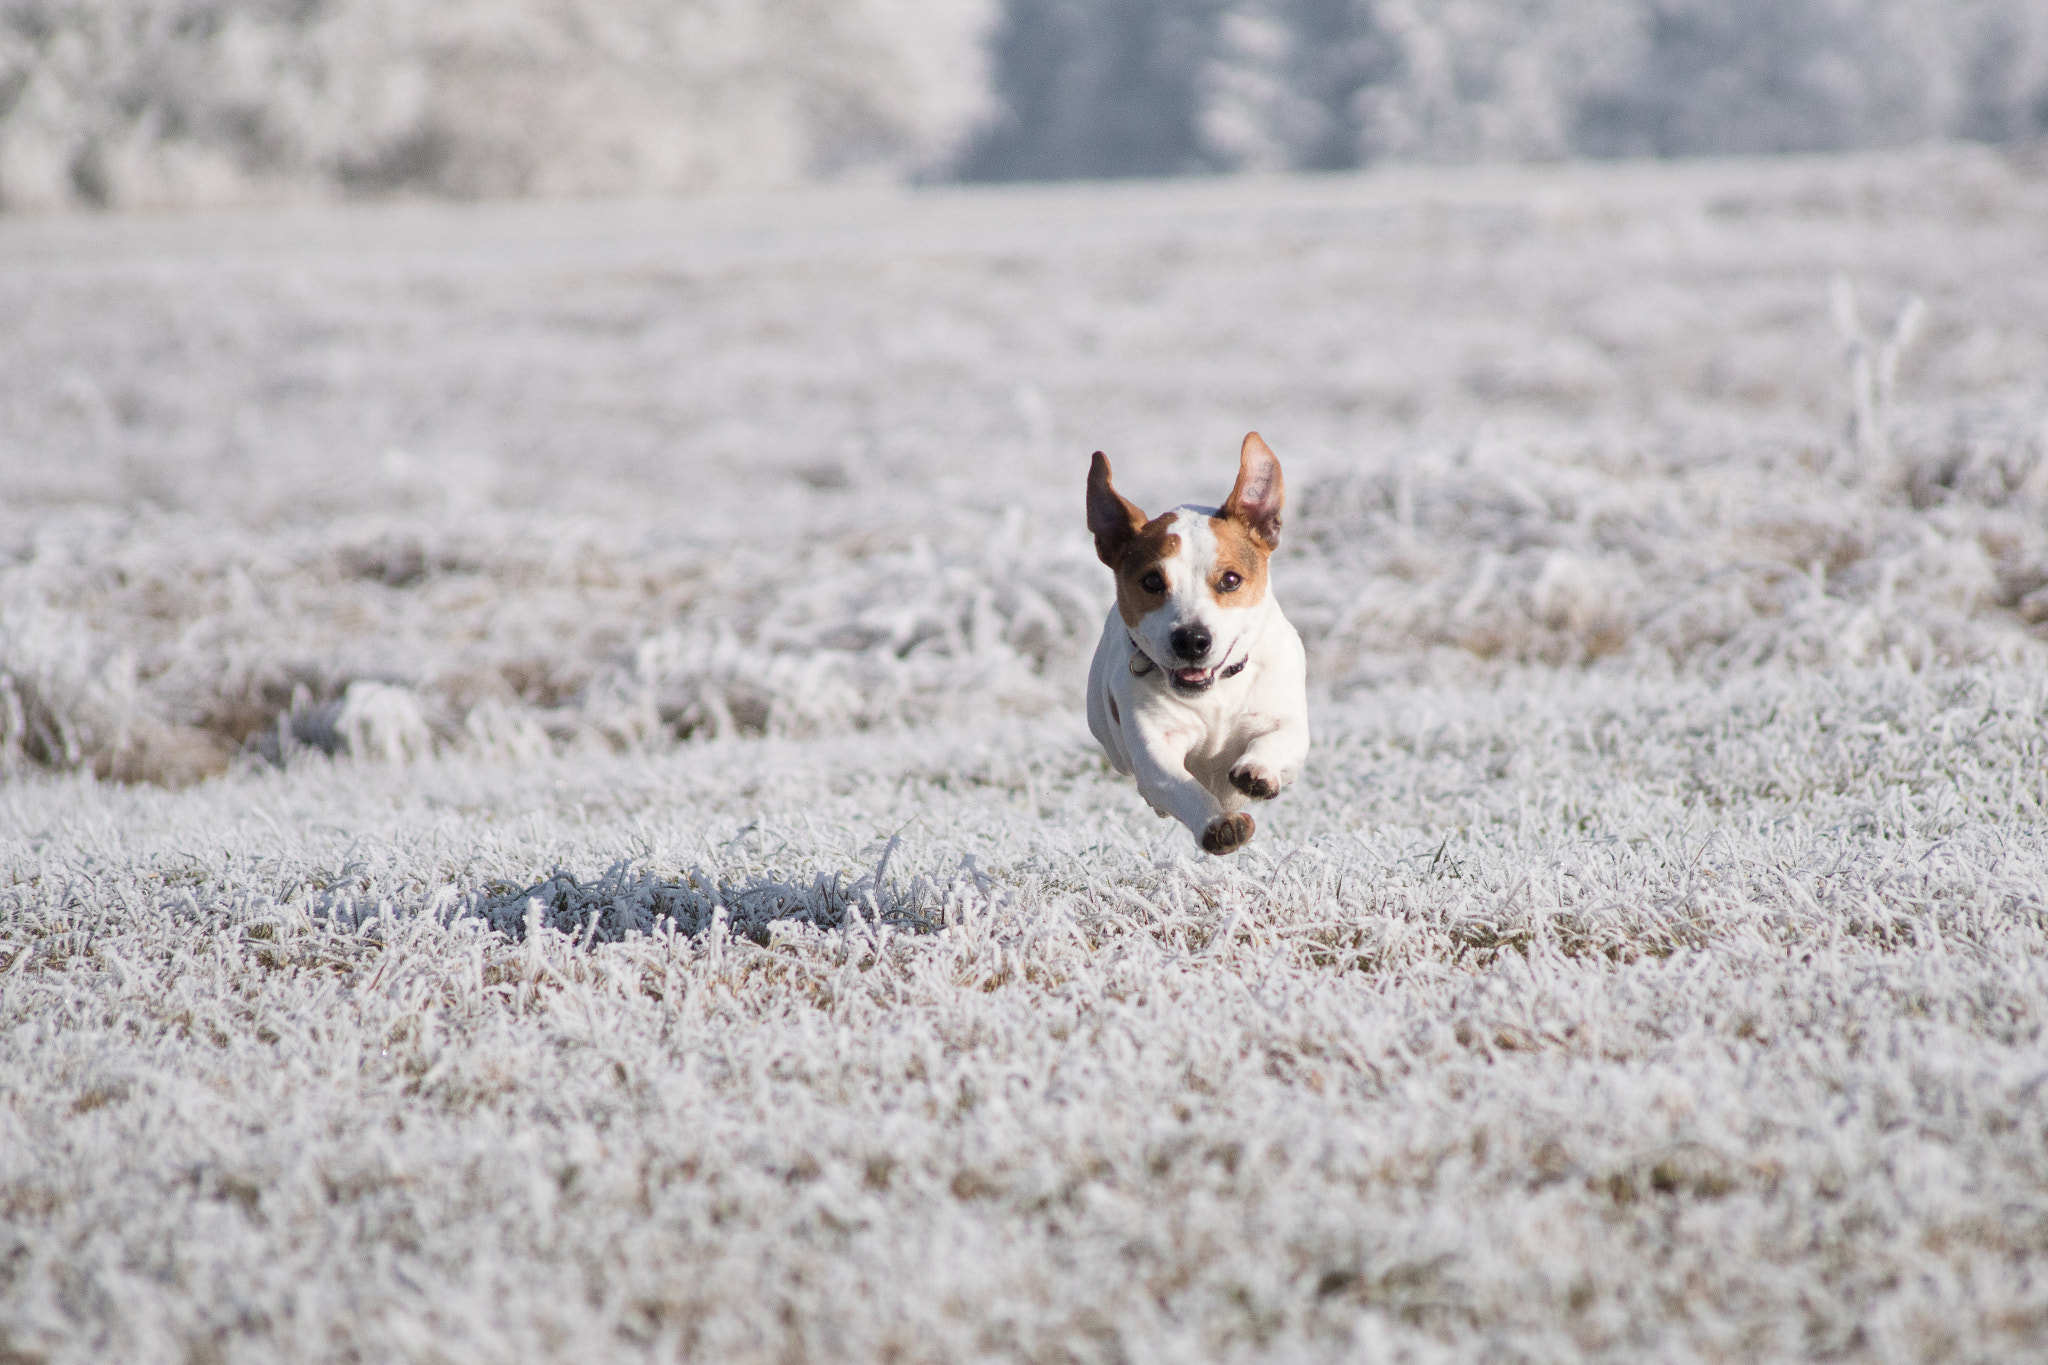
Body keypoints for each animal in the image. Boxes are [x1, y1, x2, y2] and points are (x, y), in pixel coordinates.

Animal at [1089, 429, 1310, 855]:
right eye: (1152, 581)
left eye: (1231, 579)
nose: (1191, 640)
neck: (1216, 693)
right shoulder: (1155, 744)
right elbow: (1174, 782)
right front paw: (1219, 825)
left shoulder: (1285, 717)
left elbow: (1281, 738)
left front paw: (1257, 770)